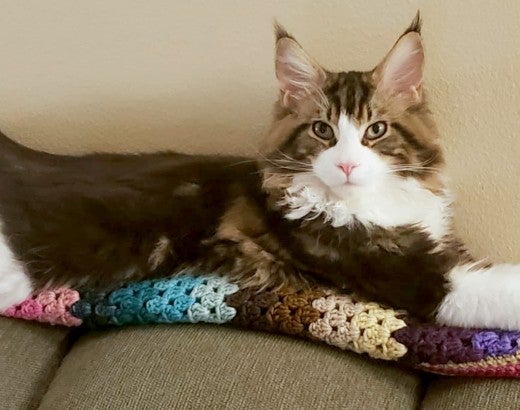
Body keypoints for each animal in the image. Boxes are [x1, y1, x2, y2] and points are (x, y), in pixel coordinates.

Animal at [1, 13, 520, 330]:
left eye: (375, 130)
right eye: (322, 130)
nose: (347, 164)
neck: (365, 201)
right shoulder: (413, 275)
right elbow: (500, 288)